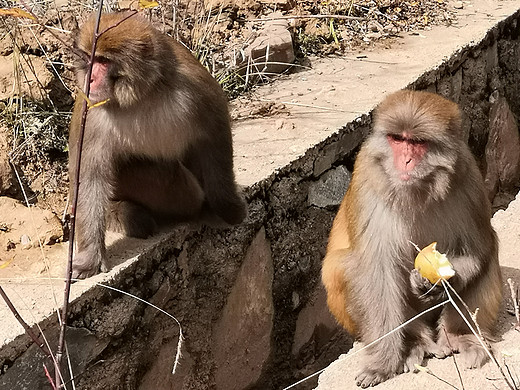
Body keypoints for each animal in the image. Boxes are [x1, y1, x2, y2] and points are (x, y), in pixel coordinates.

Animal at [69, 12, 246, 278]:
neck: (143, 94)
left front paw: (228, 206)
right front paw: (90, 257)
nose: (90, 78)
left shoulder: (196, 89)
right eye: (90, 60)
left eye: (103, 61)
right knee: (163, 173)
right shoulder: (91, 112)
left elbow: (214, 136)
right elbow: (89, 175)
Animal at [322, 90, 502, 386]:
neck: (419, 189)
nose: (405, 161)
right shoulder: (367, 180)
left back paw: (459, 336)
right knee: (339, 267)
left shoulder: (469, 178)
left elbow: (477, 249)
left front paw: (440, 285)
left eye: (417, 142)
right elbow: (376, 271)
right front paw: (383, 363)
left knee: (490, 251)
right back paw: (413, 341)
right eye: (397, 139)